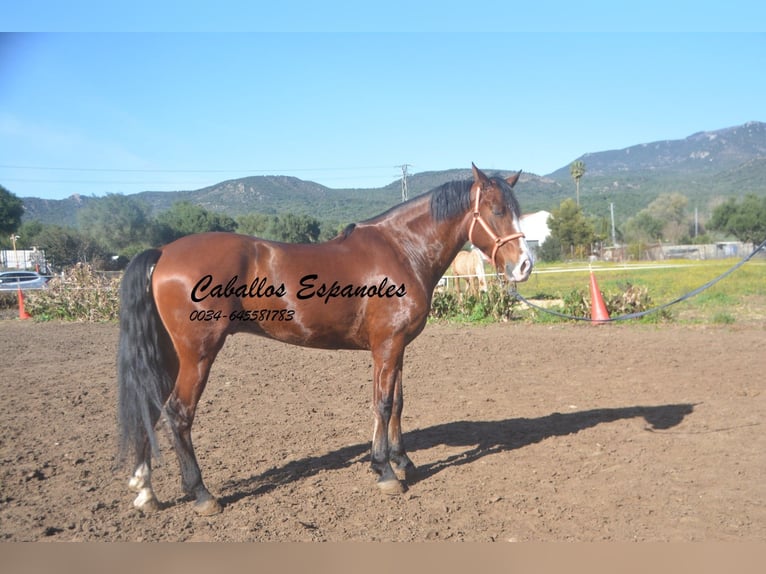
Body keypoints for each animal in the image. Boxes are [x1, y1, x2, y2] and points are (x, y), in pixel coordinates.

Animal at [118, 163, 536, 516]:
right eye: (497, 210)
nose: (525, 265)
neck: (402, 249)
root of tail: (163, 252)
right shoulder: (386, 346)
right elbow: (383, 404)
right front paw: (385, 471)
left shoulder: (397, 347)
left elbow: (398, 404)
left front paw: (403, 462)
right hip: (198, 355)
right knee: (178, 413)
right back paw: (202, 494)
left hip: (170, 354)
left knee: (149, 406)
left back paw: (145, 492)